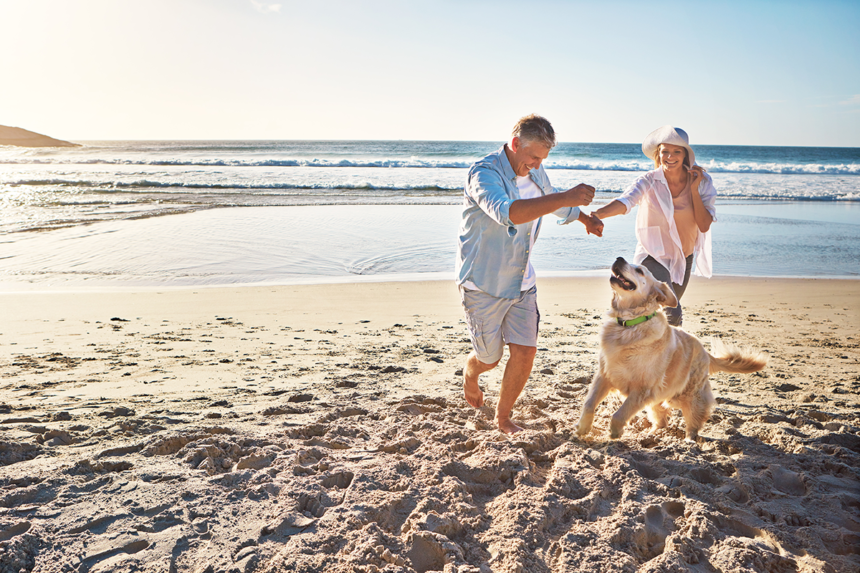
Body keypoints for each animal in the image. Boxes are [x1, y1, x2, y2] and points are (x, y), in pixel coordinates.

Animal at [576, 256, 764, 440]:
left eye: (640, 270)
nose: (619, 258)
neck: (629, 325)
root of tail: (705, 351)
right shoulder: (604, 375)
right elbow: (589, 403)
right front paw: (583, 427)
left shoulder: (643, 389)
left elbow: (620, 413)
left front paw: (615, 431)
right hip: (660, 397)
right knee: (662, 420)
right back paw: (651, 434)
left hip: (688, 395)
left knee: (694, 422)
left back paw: (689, 441)